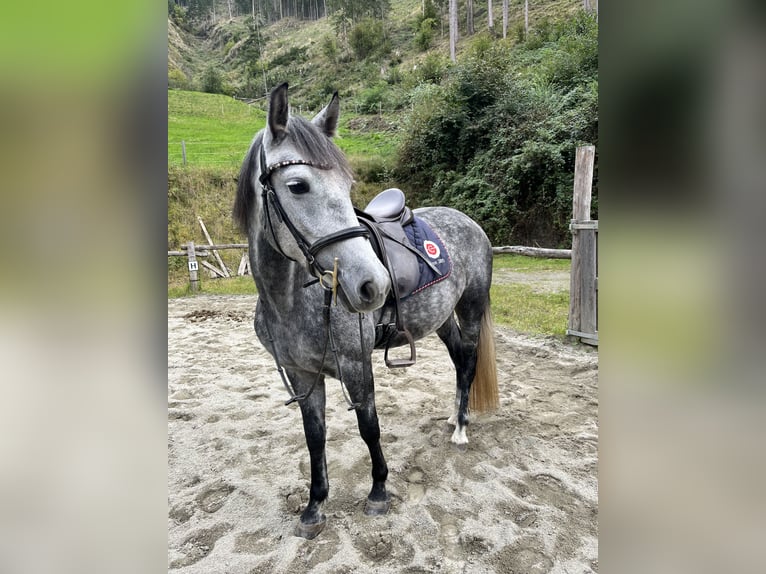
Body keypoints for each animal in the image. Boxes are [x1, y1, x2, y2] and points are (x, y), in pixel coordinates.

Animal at [233, 83, 498, 539]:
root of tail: (467, 221)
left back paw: (462, 428)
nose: (373, 284)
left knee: (468, 362)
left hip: (470, 309)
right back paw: (454, 416)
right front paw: (314, 507)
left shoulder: (357, 365)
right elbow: (315, 437)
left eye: (346, 183)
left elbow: (368, 428)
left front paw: (378, 492)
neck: (289, 303)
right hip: (442, 318)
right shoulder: (302, 375)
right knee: (459, 359)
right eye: (297, 185)